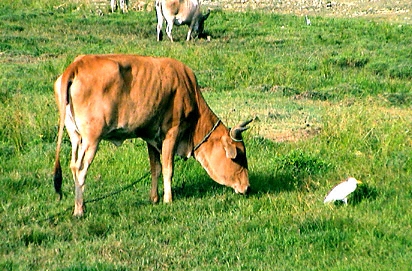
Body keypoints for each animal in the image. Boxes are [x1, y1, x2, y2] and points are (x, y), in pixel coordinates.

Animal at [53, 54, 253, 217]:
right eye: (239, 156)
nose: (247, 187)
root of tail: (77, 64)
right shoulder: (171, 133)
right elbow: (168, 168)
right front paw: (168, 199)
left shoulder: (151, 137)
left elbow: (155, 168)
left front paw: (154, 198)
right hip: (91, 139)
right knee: (80, 168)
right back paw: (79, 210)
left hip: (76, 137)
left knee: (73, 165)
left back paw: (81, 205)